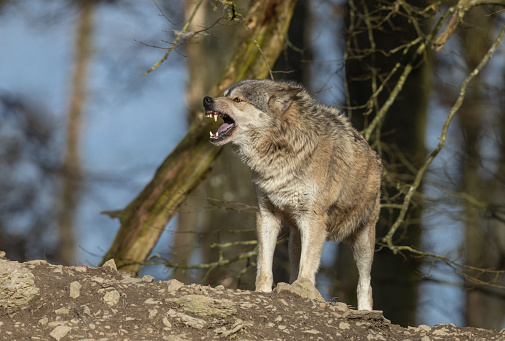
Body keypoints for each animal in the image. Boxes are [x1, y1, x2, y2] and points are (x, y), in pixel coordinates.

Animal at [203, 78, 380, 310]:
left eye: (237, 99)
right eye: (225, 95)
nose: (206, 99)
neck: (280, 149)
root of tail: (373, 153)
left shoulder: (313, 218)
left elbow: (308, 265)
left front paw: (303, 290)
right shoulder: (266, 214)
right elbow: (264, 266)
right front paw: (263, 292)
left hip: (363, 242)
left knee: (365, 285)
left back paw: (365, 311)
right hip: (294, 239)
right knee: (294, 267)